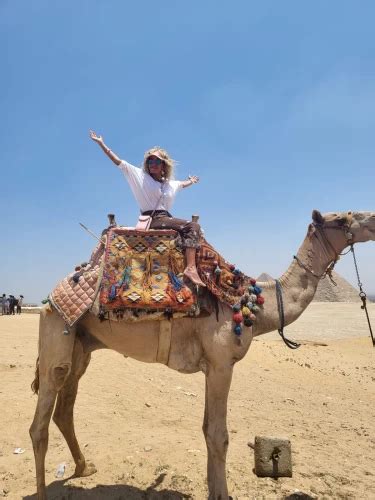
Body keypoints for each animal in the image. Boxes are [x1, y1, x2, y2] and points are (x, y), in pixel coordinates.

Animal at [29, 209, 375, 498]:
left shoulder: (211, 366)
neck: (253, 306)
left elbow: (208, 430)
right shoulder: (222, 364)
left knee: (65, 409)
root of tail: (49, 298)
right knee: (39, 423)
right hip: (56, 335)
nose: (372, 219)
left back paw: (84, 467)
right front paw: (222, 494)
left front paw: (213, 489)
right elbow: (219, 435)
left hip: (81, 347)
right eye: (342, 218)